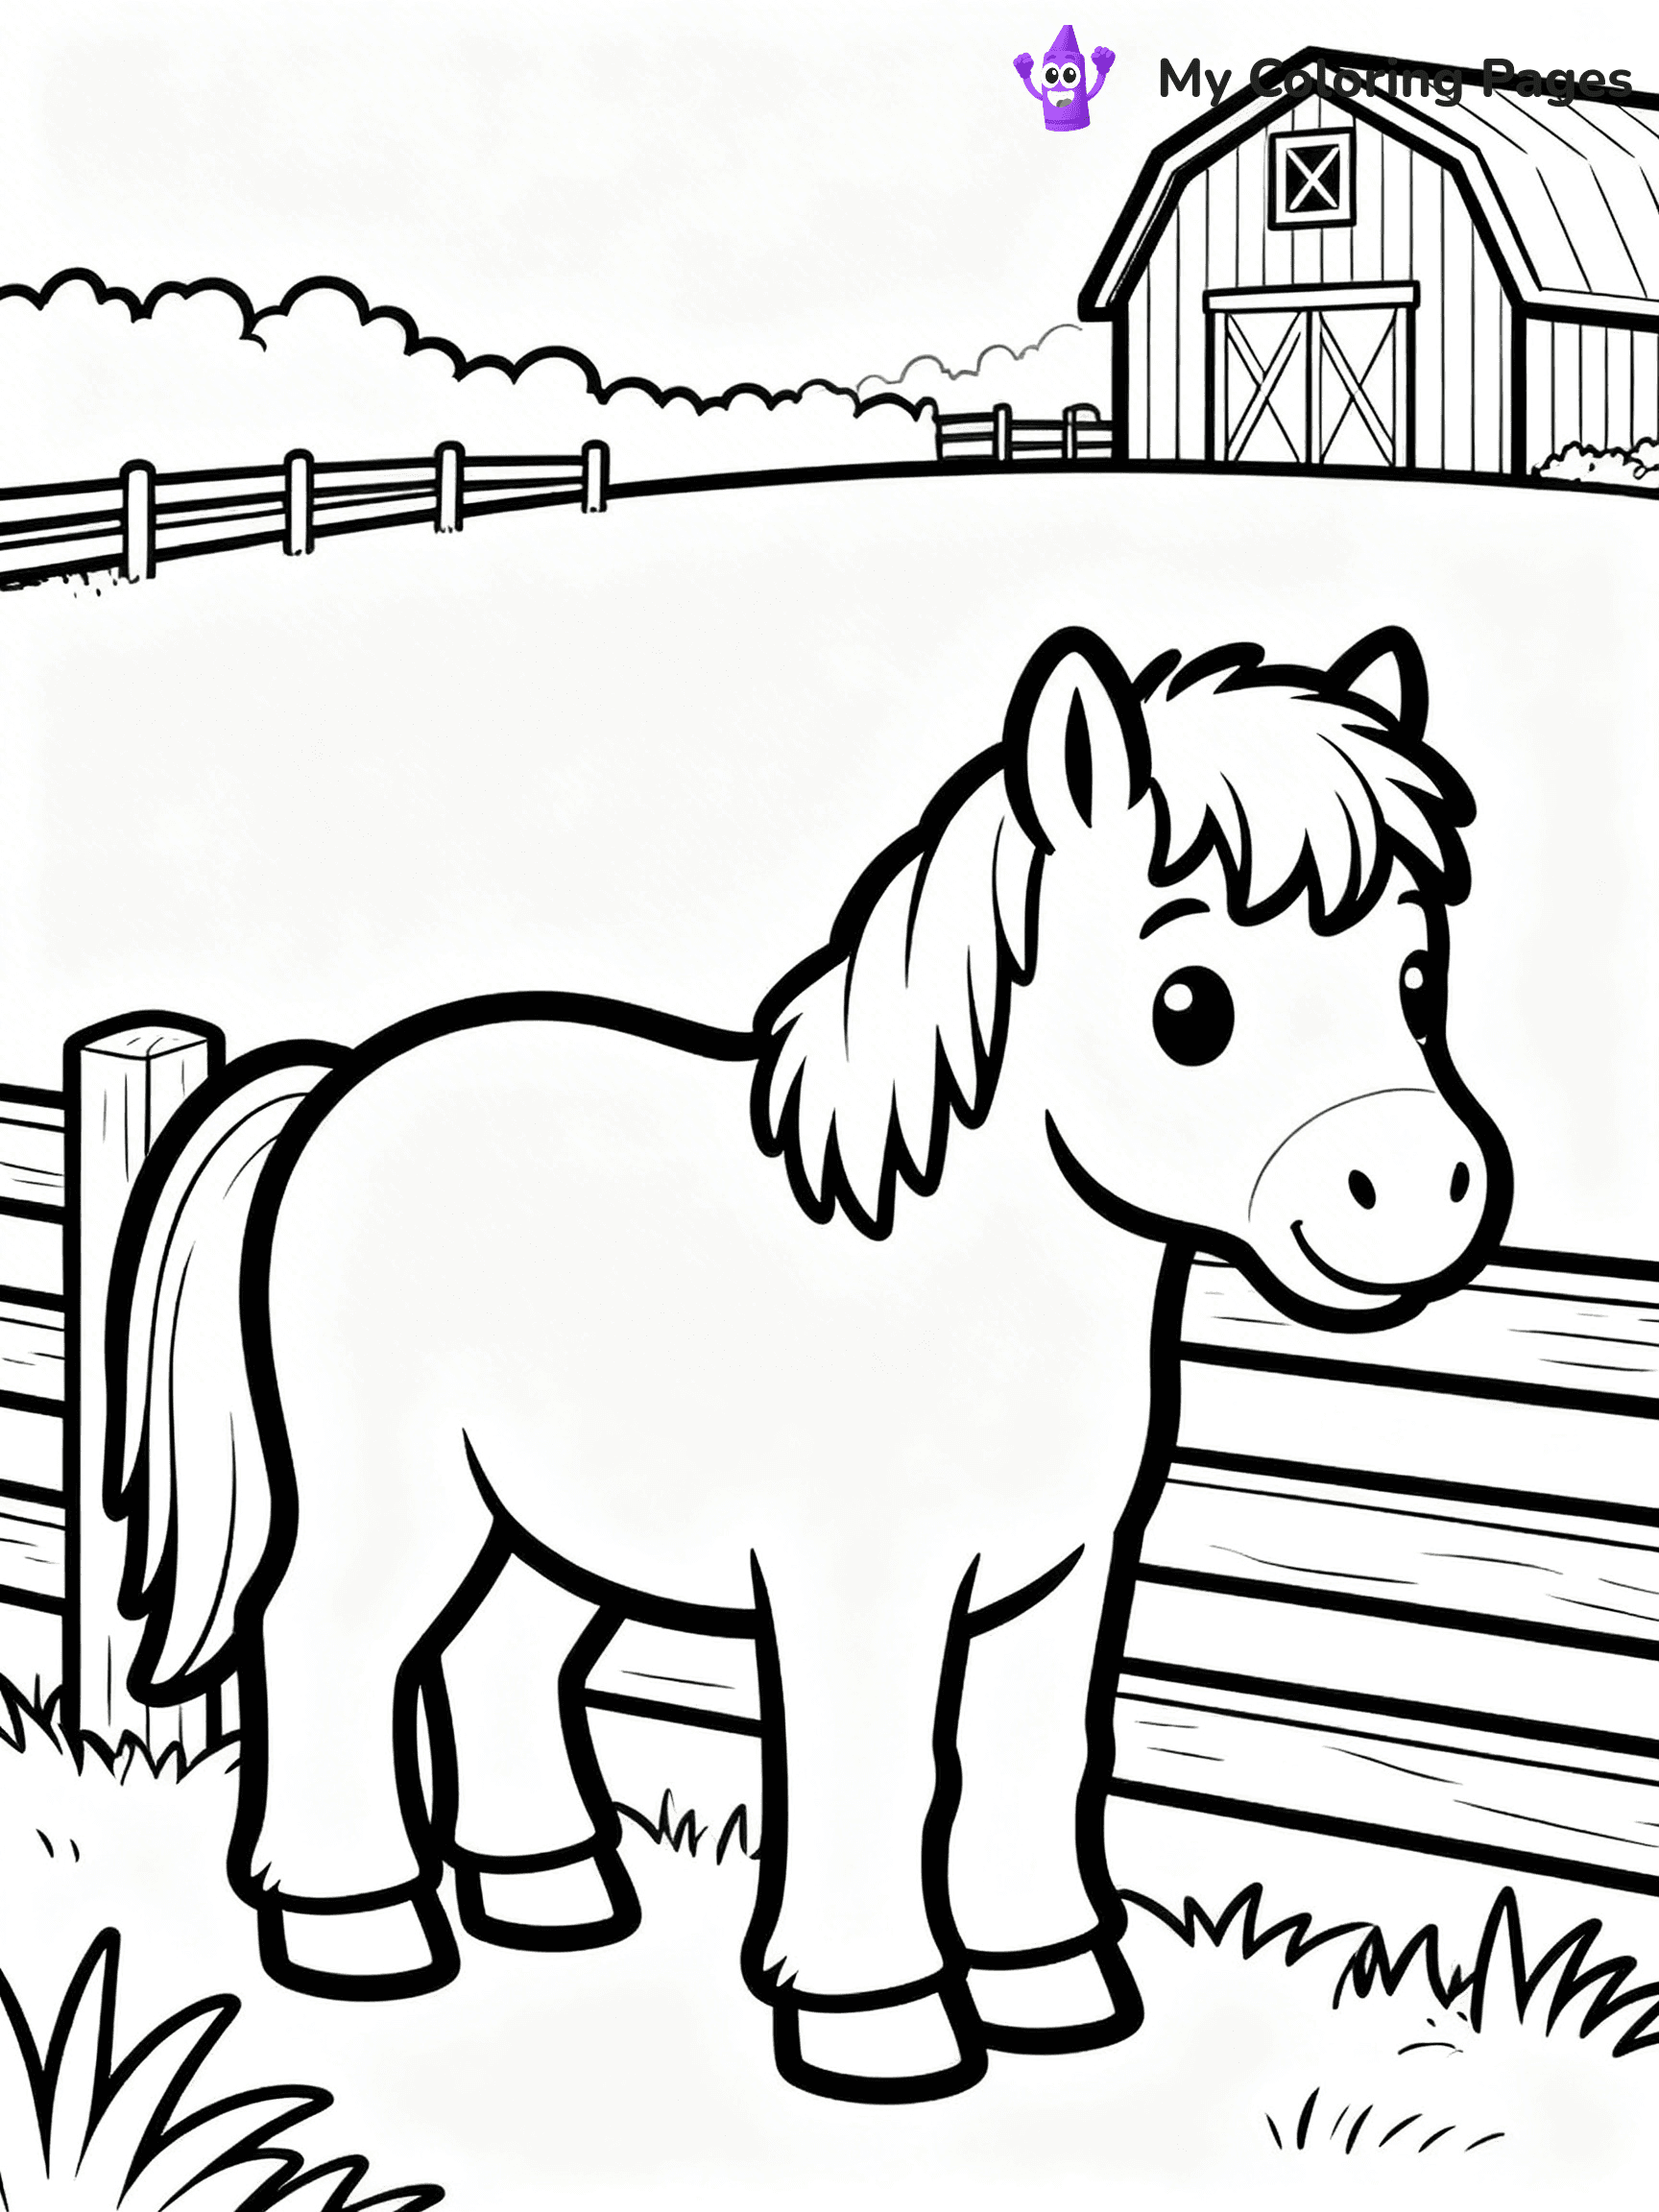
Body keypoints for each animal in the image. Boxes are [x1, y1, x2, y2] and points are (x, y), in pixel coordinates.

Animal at [107, 622, 1511, 2104]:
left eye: (1418, 983)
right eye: (1189, 1004)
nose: (1417, 1193)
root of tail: (339, 1085)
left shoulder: (1062, 1583)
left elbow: (1033, 1756)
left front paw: (1055, 1987)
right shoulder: (860, 1586)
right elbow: (876, 1763)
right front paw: (878, 2022)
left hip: (544, 1516)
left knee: (503, 1655)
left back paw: (556, 1895)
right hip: (404, 1499)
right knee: (329, 1639)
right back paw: (358, 1931)